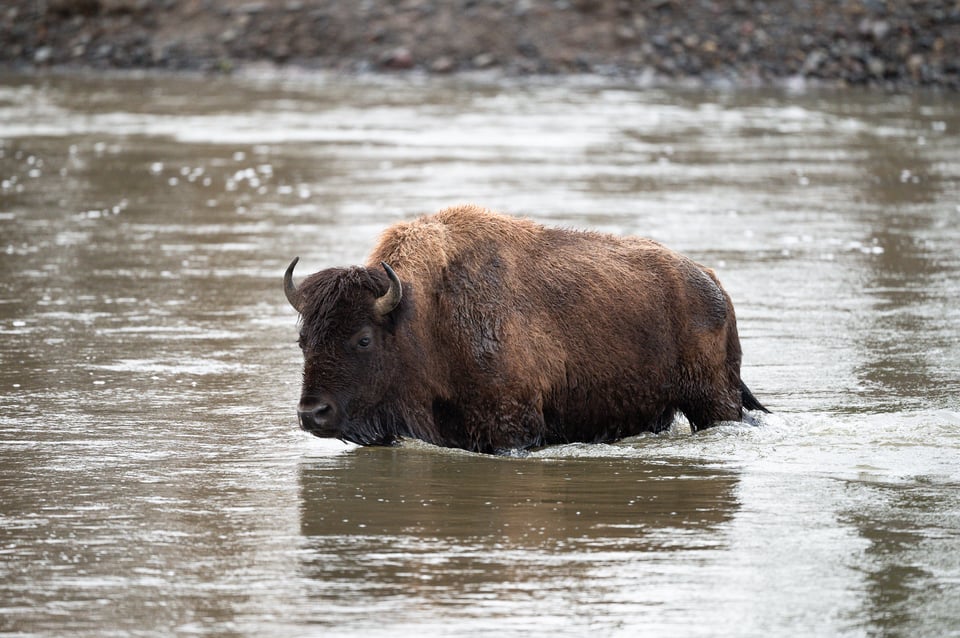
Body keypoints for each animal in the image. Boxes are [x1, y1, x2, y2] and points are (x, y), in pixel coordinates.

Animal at [282, 206, 768, 456]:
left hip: (712, 400)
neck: (422, 314)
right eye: (303, 341)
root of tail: (711, 282)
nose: (313, 414)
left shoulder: (512, 429)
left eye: (363, 338)